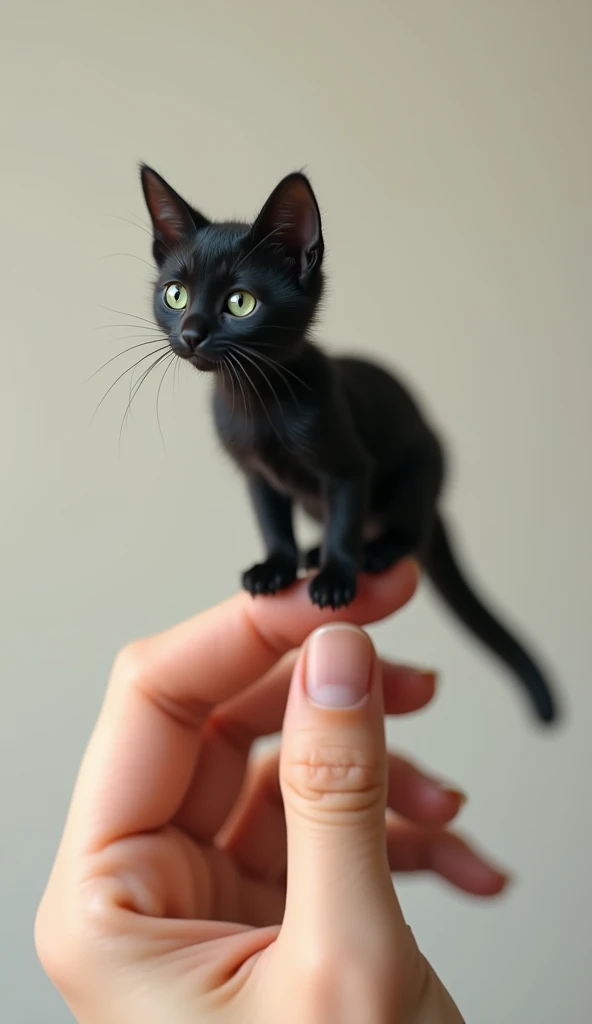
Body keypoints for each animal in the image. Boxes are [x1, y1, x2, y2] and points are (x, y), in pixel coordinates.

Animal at [140, 163, 557, 724]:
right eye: (176, 294)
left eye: (240, 303)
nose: (190, 333)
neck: (256, 401)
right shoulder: (256, 475)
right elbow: (272, 523)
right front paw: (276, 567)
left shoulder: (348, 466)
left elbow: (344, 514)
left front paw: (338, 574)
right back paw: (313, 551)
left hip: (422, 465)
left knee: (409, 528)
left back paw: (375, 551)